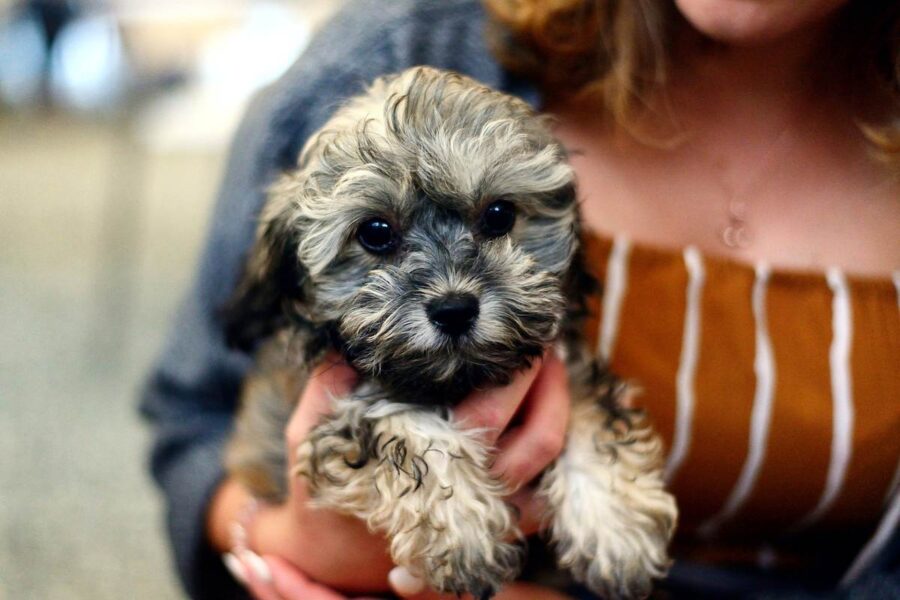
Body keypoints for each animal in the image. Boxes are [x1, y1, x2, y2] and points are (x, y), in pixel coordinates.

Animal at [223, 67, 676, 600]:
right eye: (375, 232)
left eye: (499, 215)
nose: (454, 309)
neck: (457, 378)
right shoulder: (341, 406)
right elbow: (404, 429)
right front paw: (462, 528)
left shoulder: (566, 366)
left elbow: (592, 416)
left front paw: (615, 528)